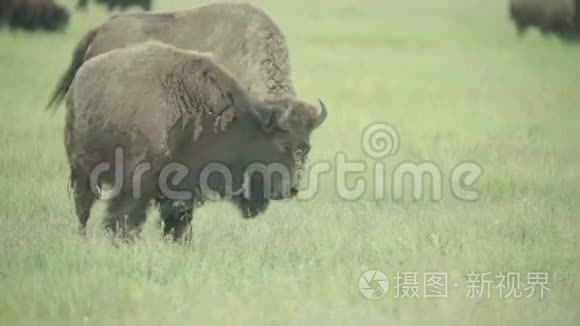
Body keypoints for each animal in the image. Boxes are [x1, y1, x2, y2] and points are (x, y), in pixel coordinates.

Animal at [65, 40, 328, 241]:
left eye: (306, 148)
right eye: (283, 145)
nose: (291, 189)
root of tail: (78, 82)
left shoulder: (183, 189)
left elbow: (179, 221)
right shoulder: (137, 183)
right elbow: (125, 217)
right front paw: (124, 241)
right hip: (83, 172)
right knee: (83, 208)